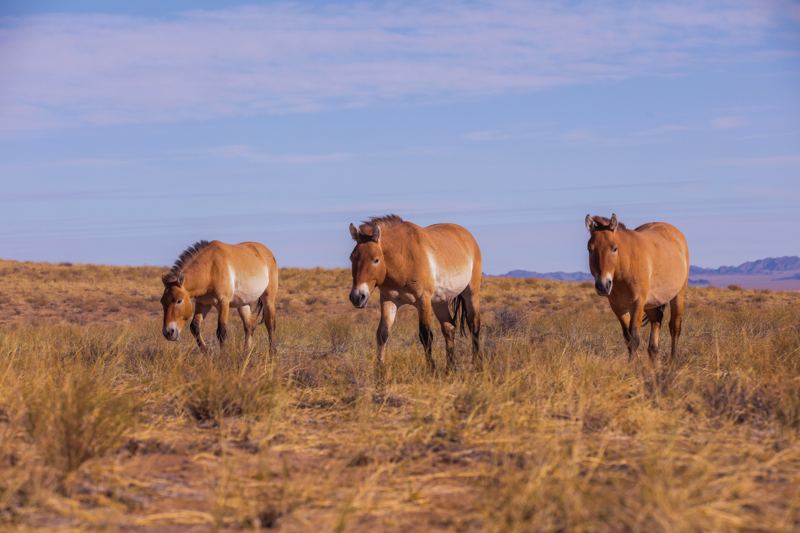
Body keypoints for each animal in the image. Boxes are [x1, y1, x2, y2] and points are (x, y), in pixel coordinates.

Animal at [348, 215, 482, 385]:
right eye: (352, 258)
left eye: (376, 259)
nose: (357, 297)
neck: (403, 258)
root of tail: (468, 236)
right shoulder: (388, 301)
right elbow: (382, 334)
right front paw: (379, 372)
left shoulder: (423, 300)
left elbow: (425, 336)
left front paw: (432, 370)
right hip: (440, 302)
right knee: (449, 328)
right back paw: (450, 369)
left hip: (471, 293)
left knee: (474, 326)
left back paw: (477, 366)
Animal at [585, 213, 689, 363]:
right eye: (590, 249)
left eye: (614, 248)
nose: (603, 285)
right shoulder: (618, 308)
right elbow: (628, 338)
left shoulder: (637, 304)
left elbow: (634, 338)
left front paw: (632, 365)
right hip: (651, 304)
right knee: (656, 326)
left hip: (678, 295)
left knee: (675, 328)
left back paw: (672, 362)